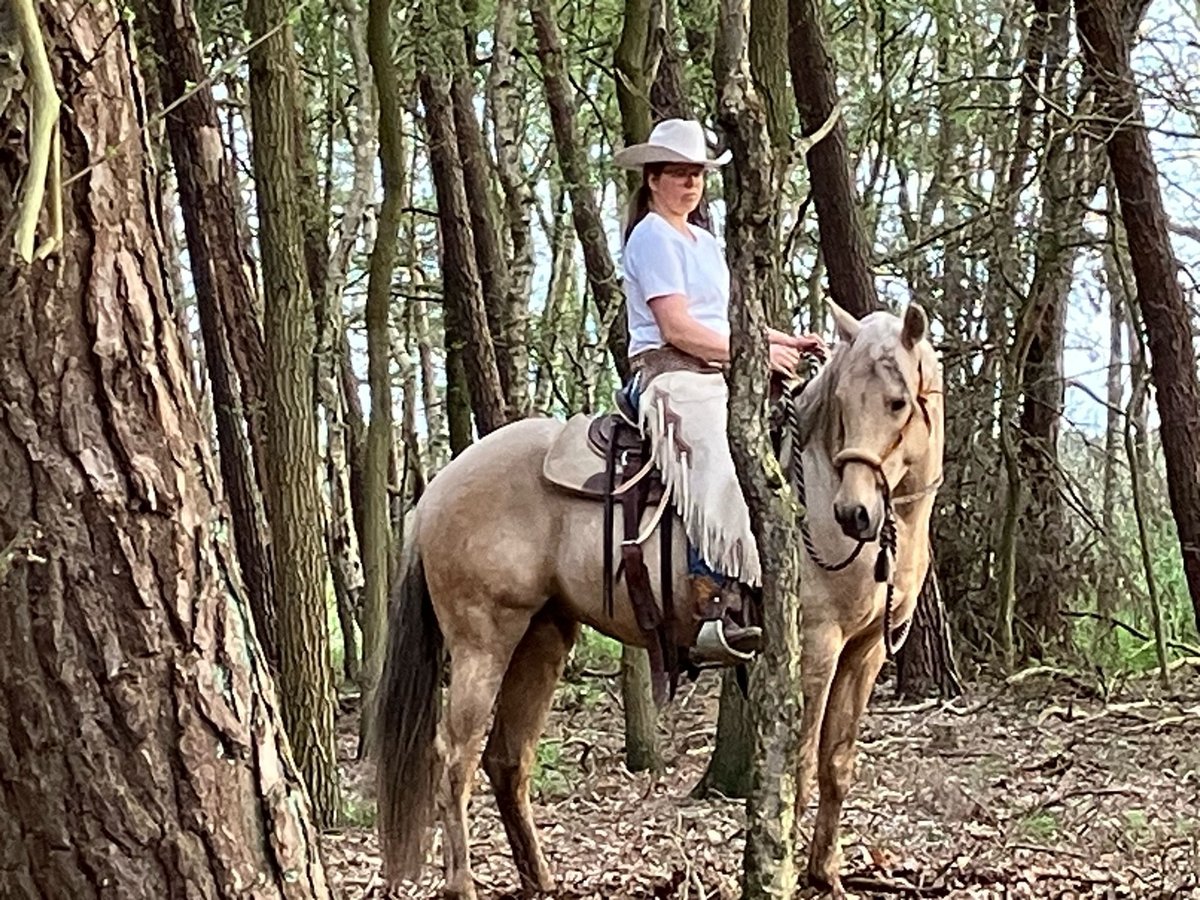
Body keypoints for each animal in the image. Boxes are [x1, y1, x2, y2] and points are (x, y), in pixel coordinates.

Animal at [379, 300, 940, 897]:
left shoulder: (865, 651)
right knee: (454, 759)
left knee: (507, 758)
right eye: (842, 404)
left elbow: (837, 764)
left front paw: (826, 874)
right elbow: (802, 767)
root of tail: (436, 488)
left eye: (897, 402)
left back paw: (541, 879)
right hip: (483, 642)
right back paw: (462, 882)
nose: (854, 514)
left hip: (541, 638)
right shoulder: (817, 645)